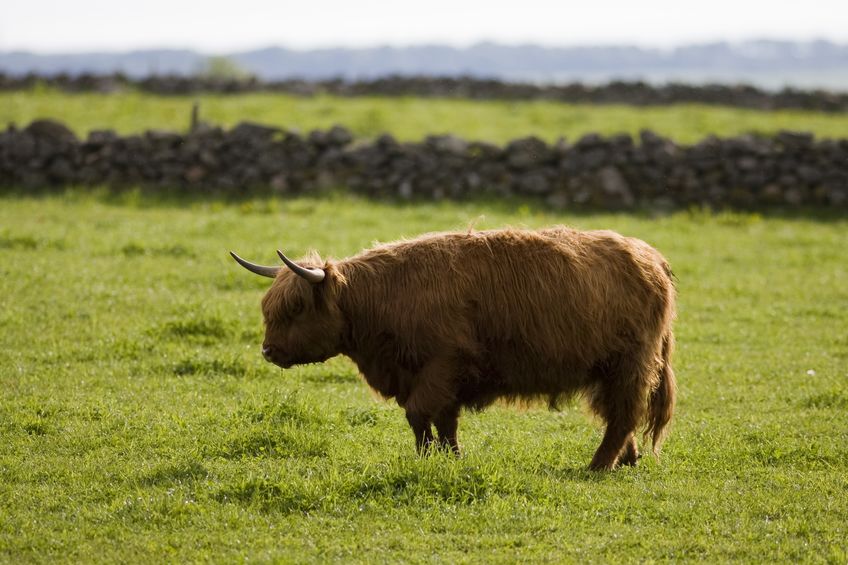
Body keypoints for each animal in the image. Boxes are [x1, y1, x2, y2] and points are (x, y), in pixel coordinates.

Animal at [230, 227, 676, 470]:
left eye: (295, 308)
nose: (268, 351)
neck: (382, 298)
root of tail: (651, 257)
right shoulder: (433, 377)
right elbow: (443, 421)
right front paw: (448, 458)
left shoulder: (442, 366)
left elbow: (419, 415)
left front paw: (430, 457)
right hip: (608, 369)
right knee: (617, 414)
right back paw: (626, 459)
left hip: (631, 364)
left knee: (624, 414)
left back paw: (598, 465)